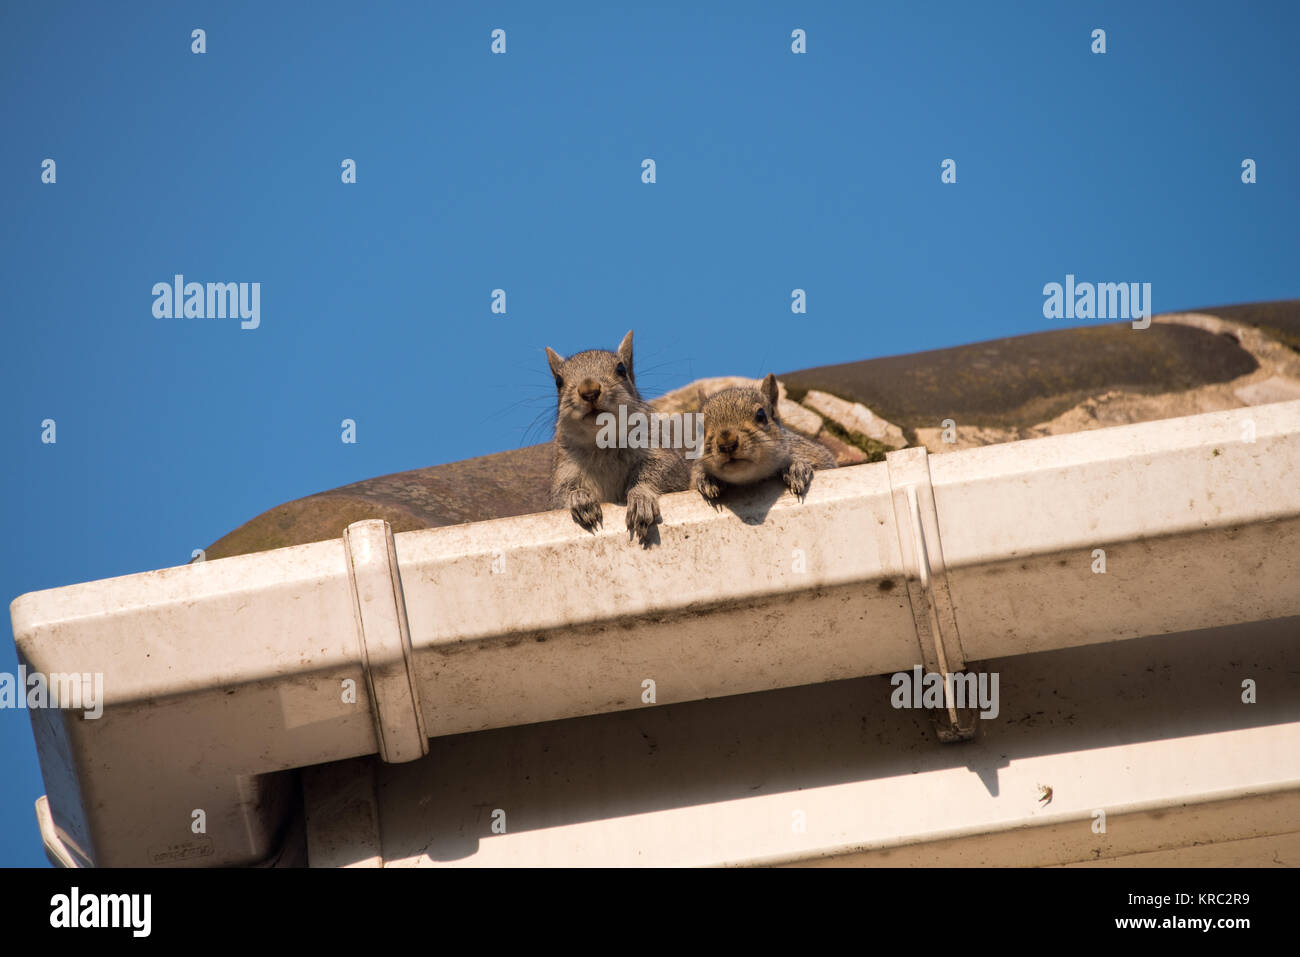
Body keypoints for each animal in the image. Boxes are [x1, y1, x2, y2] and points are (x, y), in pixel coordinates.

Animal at [546, 330, 690, 544]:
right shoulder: (565, 468)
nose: (589, 390)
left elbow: (662, 472)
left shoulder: (662, 454)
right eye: (558, 381)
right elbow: (561, 494)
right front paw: (579, 498)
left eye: (621, 369)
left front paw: (641, 498)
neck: (603, 443)